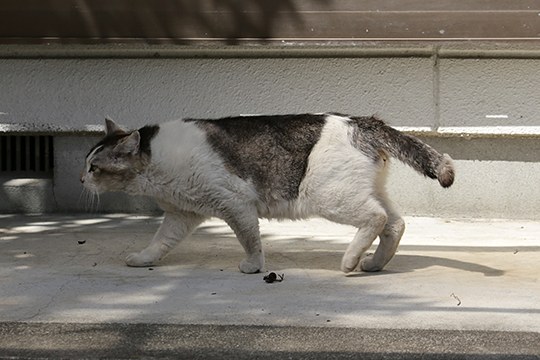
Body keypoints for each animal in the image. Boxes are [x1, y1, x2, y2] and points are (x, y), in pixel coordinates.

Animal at [80, 112, 454, 272]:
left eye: (94, 167)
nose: (82, 180)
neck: (155, 163)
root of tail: (364, 122)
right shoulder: (180, 215)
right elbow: (160, 243)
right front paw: (144, 259)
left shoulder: (236, 205)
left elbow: (250, 240)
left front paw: (253, 266)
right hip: (363, 192)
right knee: (395, 223)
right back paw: (374, 264)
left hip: (330, 197)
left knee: (375, 219)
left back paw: (349, 261)